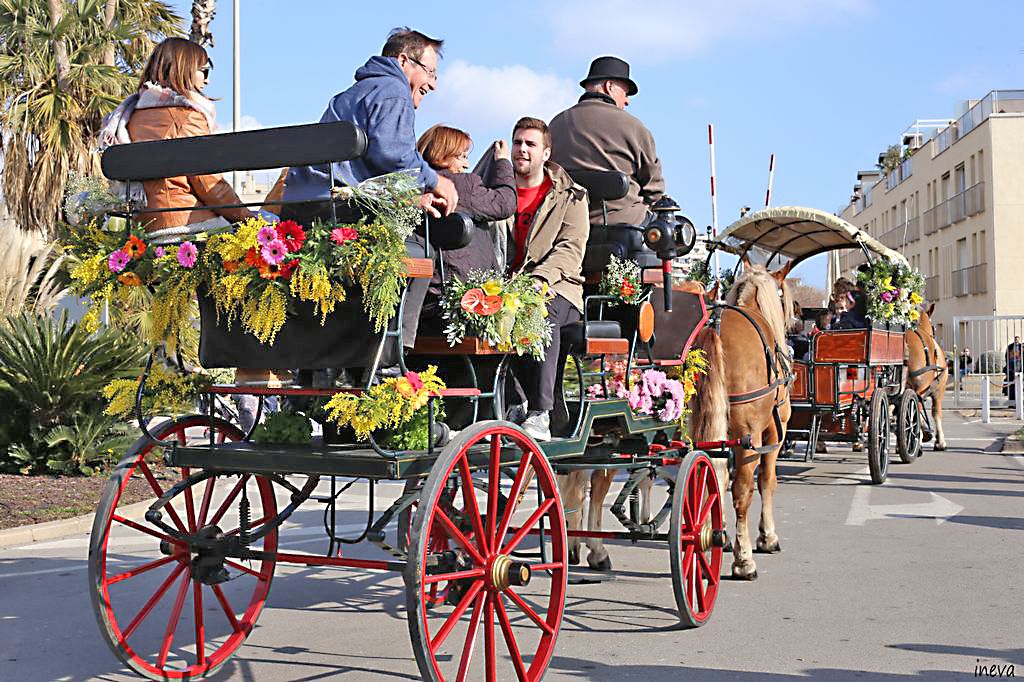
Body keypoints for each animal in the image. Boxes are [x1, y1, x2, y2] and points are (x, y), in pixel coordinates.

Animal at [692, 260, 794, 577]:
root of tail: (715, 328)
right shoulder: (774, 432)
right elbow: (767, 482)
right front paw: (766, 537)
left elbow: (720, 477)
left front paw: (720, 533)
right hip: (749, 437)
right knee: (742, 491)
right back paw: (743, 560)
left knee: (708, 476)